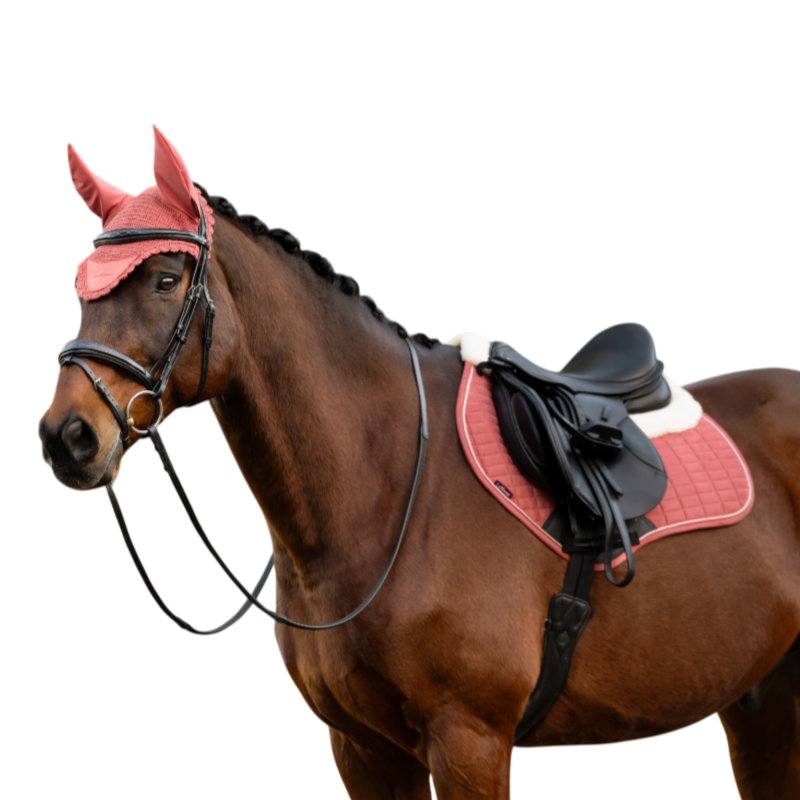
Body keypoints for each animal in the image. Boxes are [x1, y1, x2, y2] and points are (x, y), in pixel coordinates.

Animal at [40, 129, 799, 798]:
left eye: (166, 279)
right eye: (80, 288)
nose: (66, 437)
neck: (388, 488)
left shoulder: (470, 740)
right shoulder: (363, 751)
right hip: (763, 704)